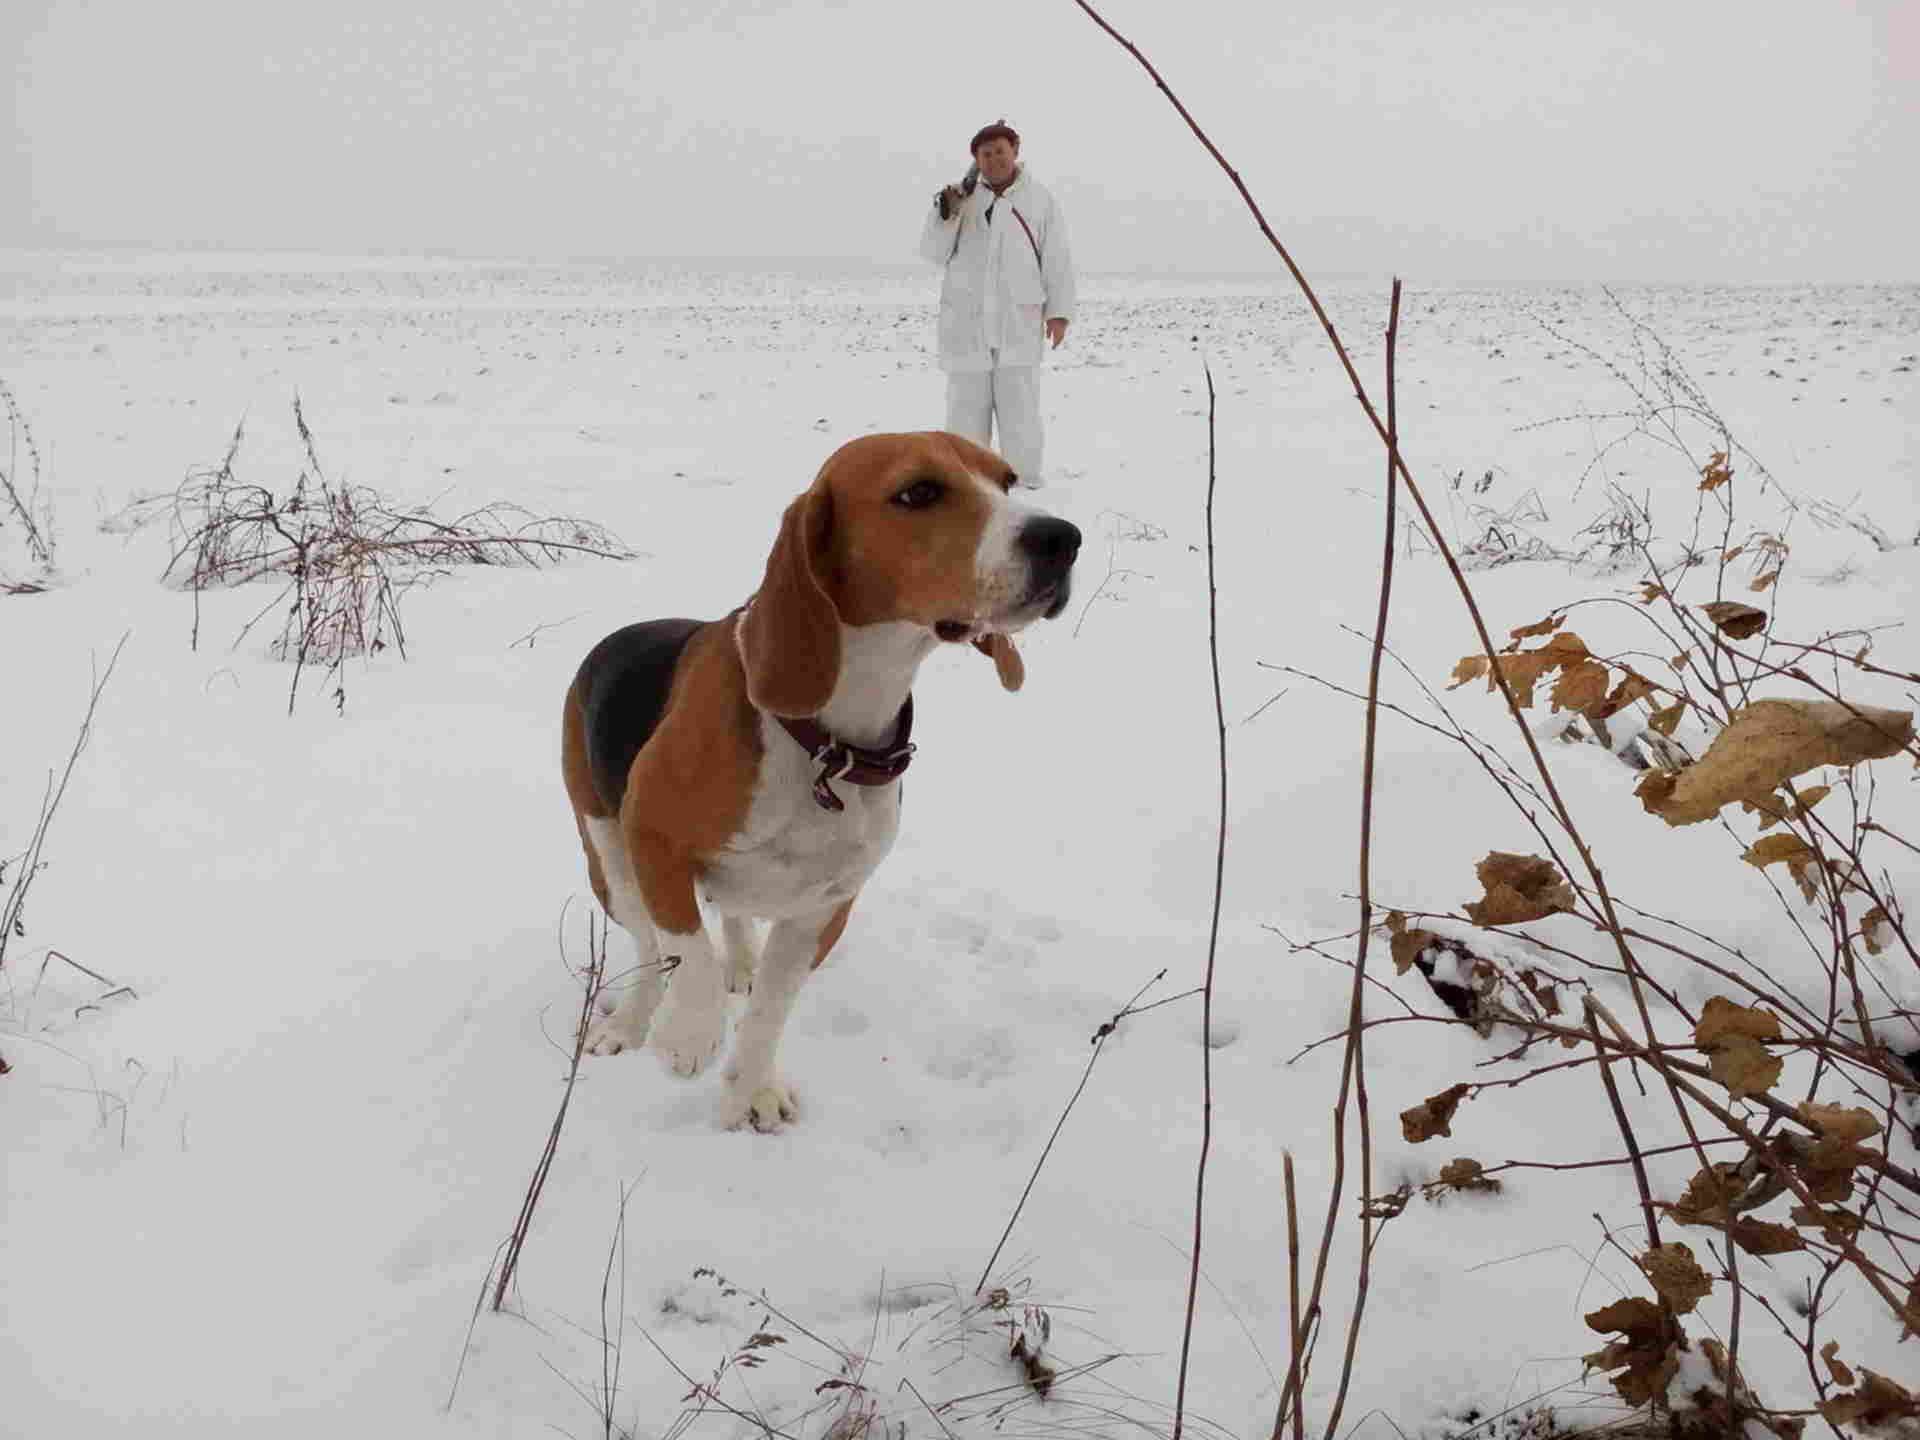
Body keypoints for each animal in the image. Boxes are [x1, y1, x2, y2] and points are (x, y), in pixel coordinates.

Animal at [560, 433, 1090, 1136]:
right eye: (918, 492)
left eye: (1006, 481)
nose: (1063, 537)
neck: (827, 742)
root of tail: (617, 636)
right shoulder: (653, 835)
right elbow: (686, 950)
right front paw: (689, 1031)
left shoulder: (823, 909)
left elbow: (768, 1013)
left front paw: (752, 1091)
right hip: (610, 862)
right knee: (649, 947)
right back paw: (632, 1022)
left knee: (730, 918)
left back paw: (740, 964)